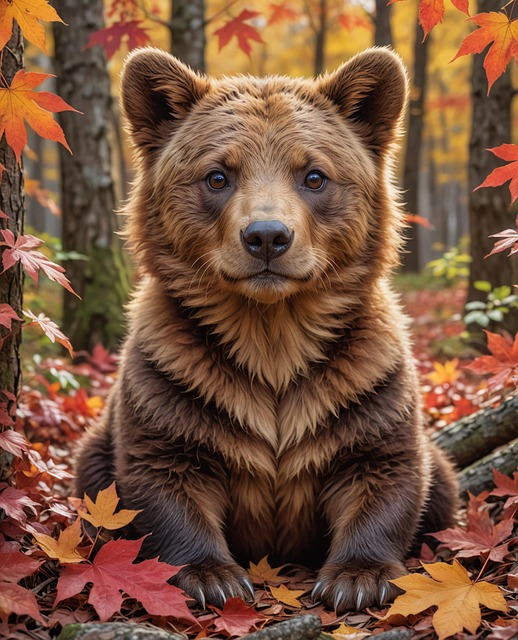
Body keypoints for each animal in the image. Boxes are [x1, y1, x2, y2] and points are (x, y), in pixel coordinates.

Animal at [75, 46, 459, 613]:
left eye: (314, 175)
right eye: (217, 175)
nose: (267, 237)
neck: (272, 334)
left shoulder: (363, 390)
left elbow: (385, 474)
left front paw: (357, 577)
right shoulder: (175, 388)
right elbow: (164, 482)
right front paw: (213, 576)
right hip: (102, 446)